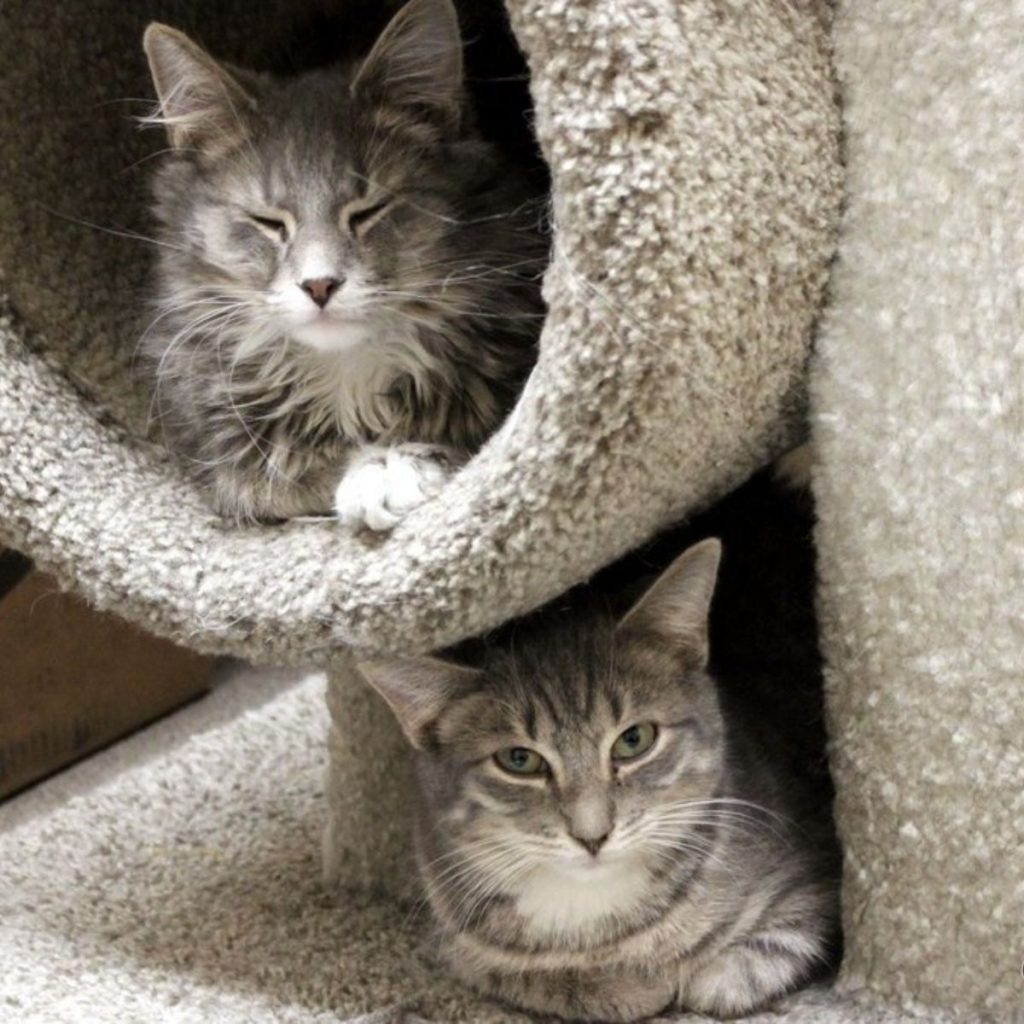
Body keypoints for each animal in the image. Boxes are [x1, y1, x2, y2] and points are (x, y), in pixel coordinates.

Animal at [142, 0, 552, 528]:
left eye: (367, 211)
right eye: (268, 222)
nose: (319, 285)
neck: (349, 372)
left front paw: (395, 468)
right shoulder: (224, 460)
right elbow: (284, 482)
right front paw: (372, 469)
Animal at [360, 540, 839, 1019]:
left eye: (634, 739)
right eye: (519, 760)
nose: (592, 835)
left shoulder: (809, 878)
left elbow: (754, 960)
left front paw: (700, 975)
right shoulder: (453, 934)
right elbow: (509, 973)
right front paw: (621, 985)